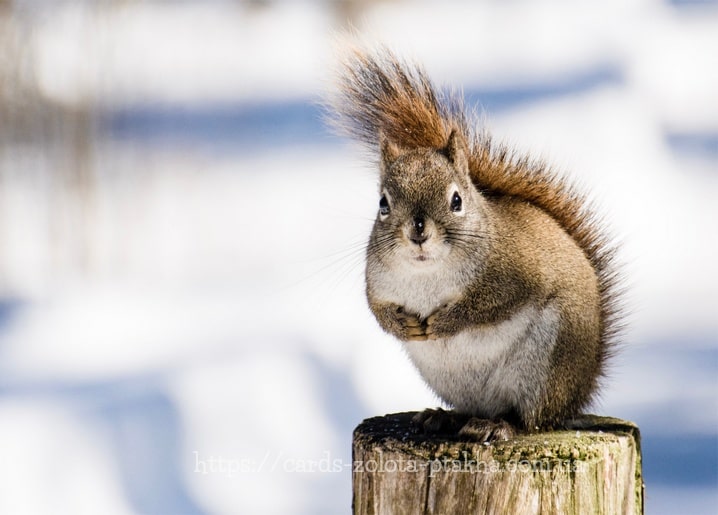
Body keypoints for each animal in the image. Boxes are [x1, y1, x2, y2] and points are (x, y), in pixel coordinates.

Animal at [330, 48, 620, 442]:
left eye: (456, 200)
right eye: (383, 203)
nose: (418, 231)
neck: (427, 274)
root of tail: (577, 394)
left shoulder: (516, 274)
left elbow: (490, 305)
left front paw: (445, 322)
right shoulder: (377, 282)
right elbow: (377, 310)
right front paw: (402, 325)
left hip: (548, 365)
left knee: (530, 418)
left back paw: (499, 424)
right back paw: (444, 417)